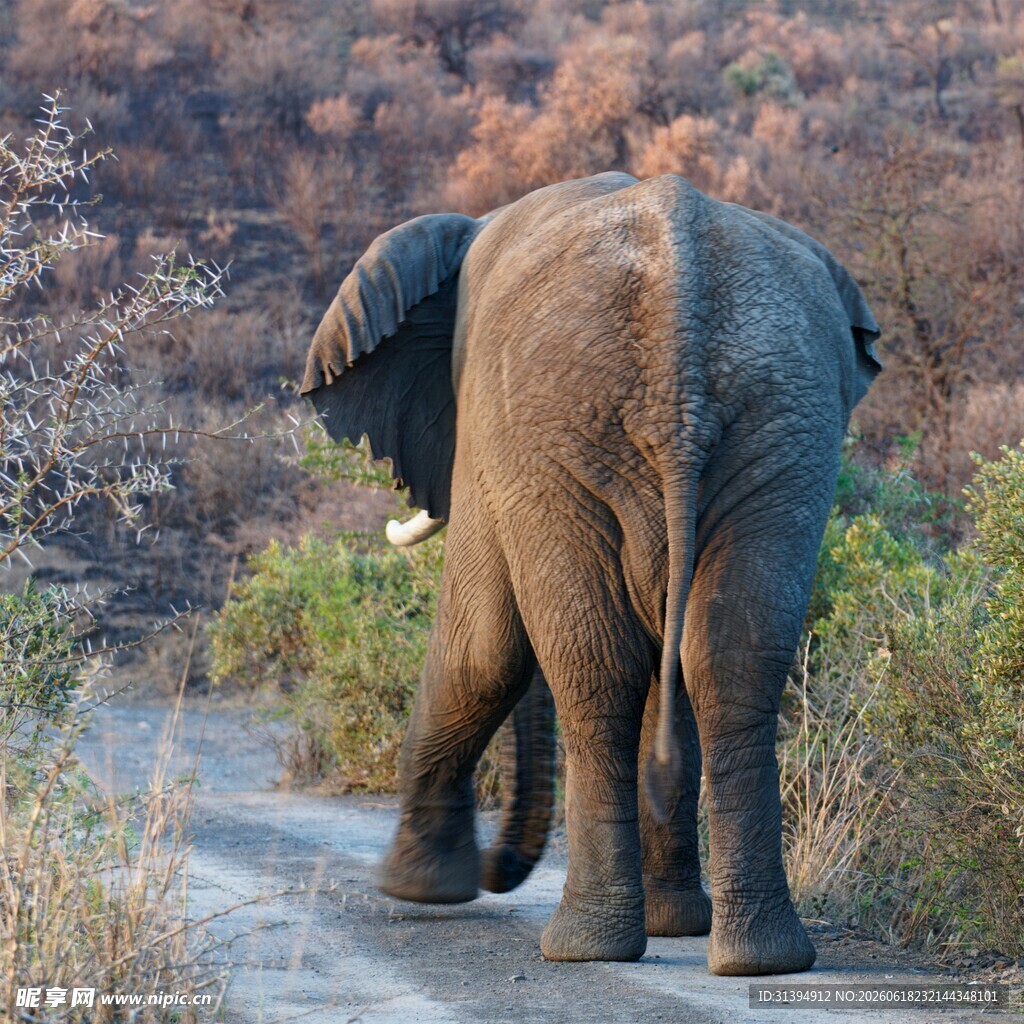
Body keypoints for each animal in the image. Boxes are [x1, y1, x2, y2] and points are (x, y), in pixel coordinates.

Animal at [300, 172, 881, 976]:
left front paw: (414, 889)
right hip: (785, 429)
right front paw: (675, 924)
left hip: (563, 433)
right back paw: (757, 959)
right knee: (725, 657)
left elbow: (484, 646)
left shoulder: (489, 440)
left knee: (595, 665)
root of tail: (681, 315)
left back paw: (583, 947)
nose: (498, 874)